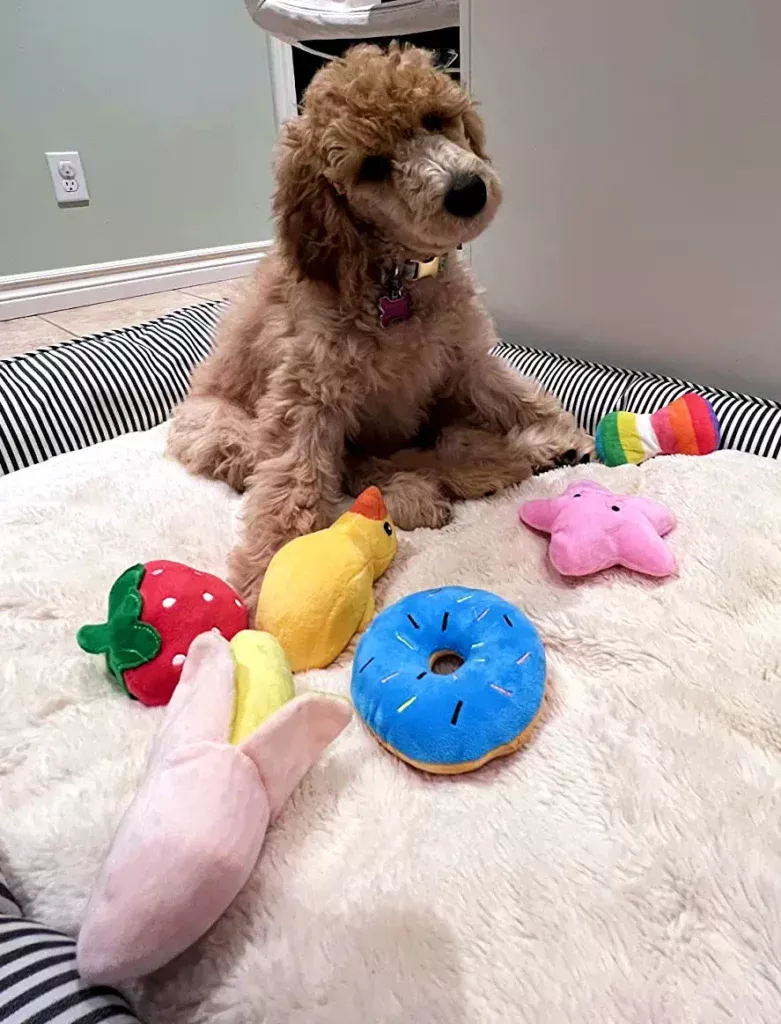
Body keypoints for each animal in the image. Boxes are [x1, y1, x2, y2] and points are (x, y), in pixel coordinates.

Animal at [166, 46, 593, 606]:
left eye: (435, 119)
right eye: (371, 167)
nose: (468, 192)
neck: (397, 281)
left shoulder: (463, 360)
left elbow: (516, 392)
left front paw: (566, 431)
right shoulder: (307, 397)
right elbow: (292, 478)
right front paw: (269, 576)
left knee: (445, 445)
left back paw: (527, 453)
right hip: (217, 427)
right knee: (354, 469)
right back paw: (425, 489)